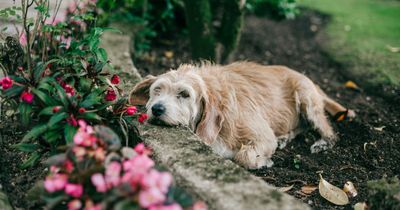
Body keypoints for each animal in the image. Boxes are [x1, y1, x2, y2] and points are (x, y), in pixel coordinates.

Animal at [128, 61, 354, 169]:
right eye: (157, 90)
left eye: (184, 94)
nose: (156, 109)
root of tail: (307, 78)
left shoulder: (262, 135)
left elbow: (244, 157)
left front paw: (263, 161)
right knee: (300, 127)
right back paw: (284, 138)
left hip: (306, 98)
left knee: (329, 132)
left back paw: (323, 142)